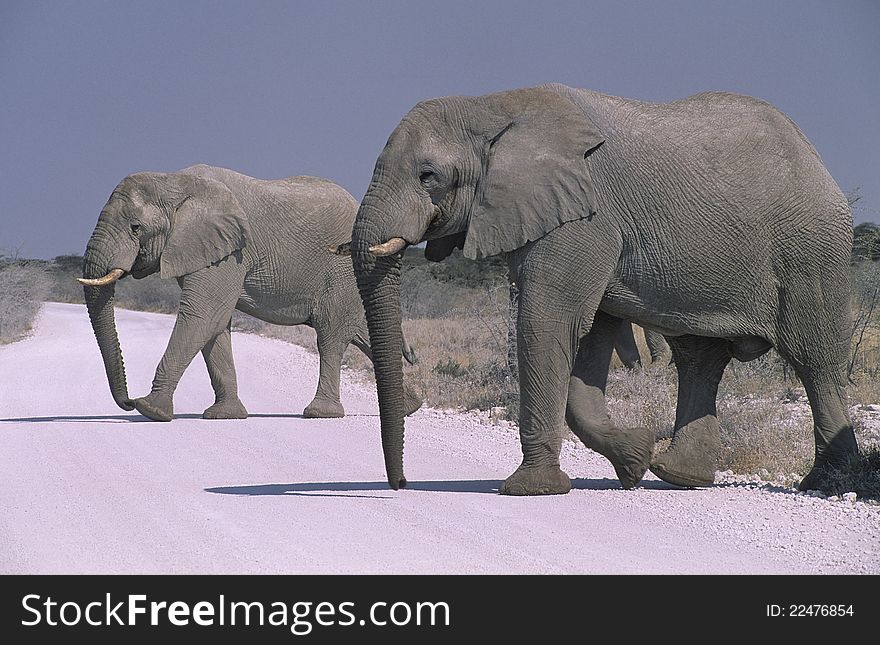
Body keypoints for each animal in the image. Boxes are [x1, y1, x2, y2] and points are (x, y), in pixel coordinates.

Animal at [81, 164, 424, 420]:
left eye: (135, 228)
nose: (127, 401)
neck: (173, 182)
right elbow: (216, 324)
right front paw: (225, 415)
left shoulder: (231, 251)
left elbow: (203, 314)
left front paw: (151, 410)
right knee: (362, 333)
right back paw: (409, 407)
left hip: (342, 271)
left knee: (331, 335)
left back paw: (320, 413)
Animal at [350, 84, 860, 494]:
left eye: (428, 176)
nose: (399, 485)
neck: (492, 105)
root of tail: (817, 160)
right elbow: (589, 334)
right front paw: (634, 460)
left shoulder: (586, 218)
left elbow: (548, 323)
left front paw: (531, 490)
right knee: (699, 357)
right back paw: (678, 475)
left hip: (810, 250)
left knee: (814, 359)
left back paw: (829, 484)